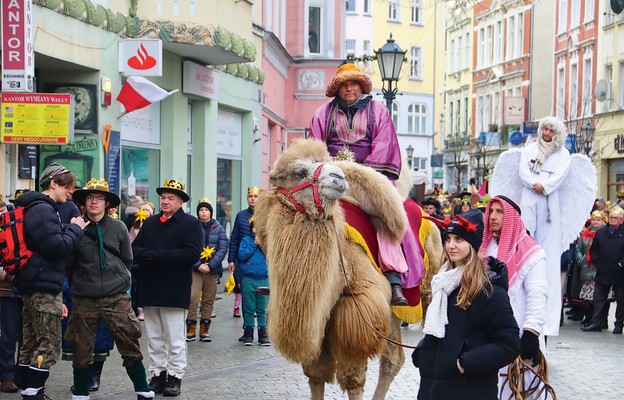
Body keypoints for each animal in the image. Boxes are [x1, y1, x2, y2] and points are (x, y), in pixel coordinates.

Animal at [255, 139, 444, 398]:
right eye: (299, 172)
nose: (339, 177)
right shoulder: (318, 317)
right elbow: (315, 375)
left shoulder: (357, 313)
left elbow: (353, 379)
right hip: (393, 313)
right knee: (394, 359)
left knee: (394, 358)